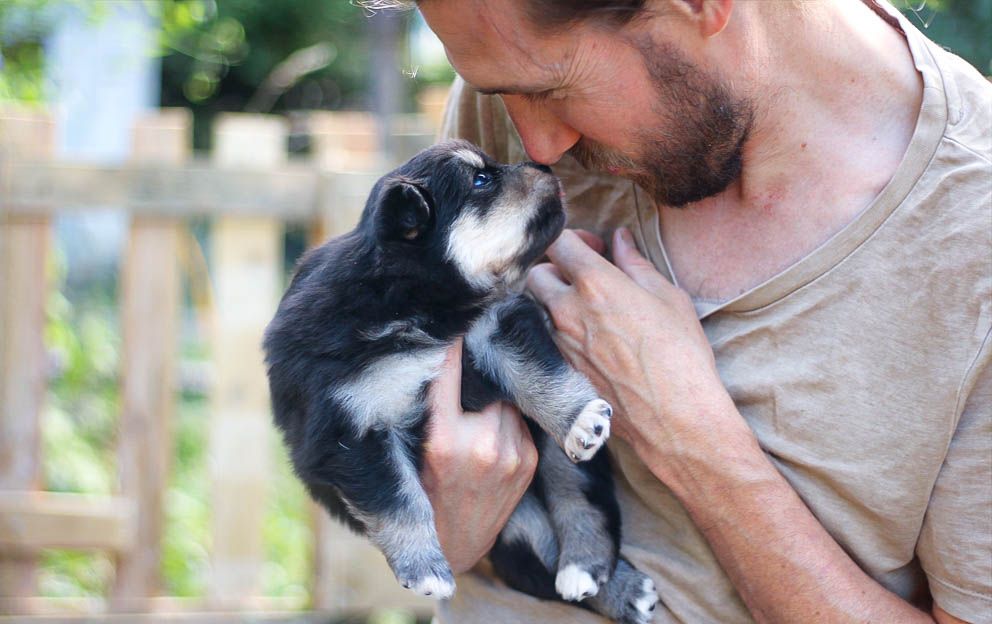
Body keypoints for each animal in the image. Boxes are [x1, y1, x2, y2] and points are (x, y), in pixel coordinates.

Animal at [266, 139, 660, 620]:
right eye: (481, 180)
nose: (545, 166)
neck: (415, 300)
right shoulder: (353, 424)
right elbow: (400, 502)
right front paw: (426, 570)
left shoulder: (495, 327)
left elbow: (539, 377)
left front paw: (581, 418)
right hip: (517, 526)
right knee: (544, 558)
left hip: (551, 471)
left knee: (580, 500)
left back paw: (595, 571)